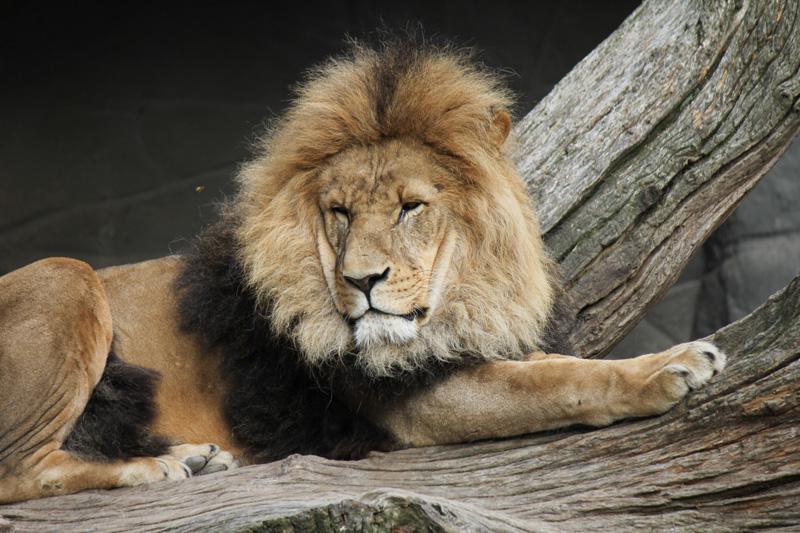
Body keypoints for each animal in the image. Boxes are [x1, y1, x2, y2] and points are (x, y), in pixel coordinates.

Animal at [0, 39, 725, 503]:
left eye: (410, 207)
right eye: (339, 212)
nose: (362, 281)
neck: (462, 299)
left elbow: (550, 365)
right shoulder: (412, 401)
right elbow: (556, 382)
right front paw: (669, 367)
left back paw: (191, 459)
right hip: (70, 276)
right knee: (18, 471)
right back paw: (154, 467)